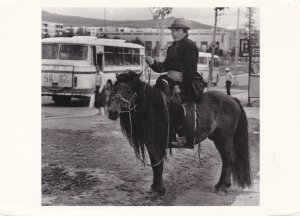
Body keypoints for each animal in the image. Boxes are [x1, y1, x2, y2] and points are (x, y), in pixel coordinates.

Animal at [107, 71, 251, 196]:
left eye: (129, 90)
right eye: (114, 89)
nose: (112, 112)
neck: (152, 108)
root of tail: (233, 99)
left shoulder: (157, 144)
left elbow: (158, 164)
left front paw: (160, 190)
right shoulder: (150, 144)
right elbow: (155, 165)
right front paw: (155, 187)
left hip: (224, 137)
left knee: (230, 158)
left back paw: (222, 187)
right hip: (218, 138)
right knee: (226, 159)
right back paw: (221, 185)